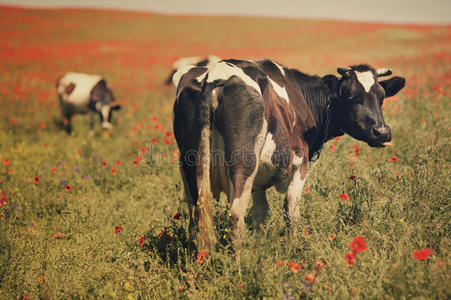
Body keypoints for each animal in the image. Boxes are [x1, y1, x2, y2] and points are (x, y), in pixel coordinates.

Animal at [173, 59, 406, 250]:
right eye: (352, 97)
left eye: (382, 98)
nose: (382, 132)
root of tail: (214, 74)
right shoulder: (299, 165)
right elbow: (291, 209)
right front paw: (292, 248)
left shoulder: (259, 179)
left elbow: (260, 213)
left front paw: (260, 250)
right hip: (243, 163)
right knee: (236, 215)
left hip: (189, 166)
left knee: (196, 214)